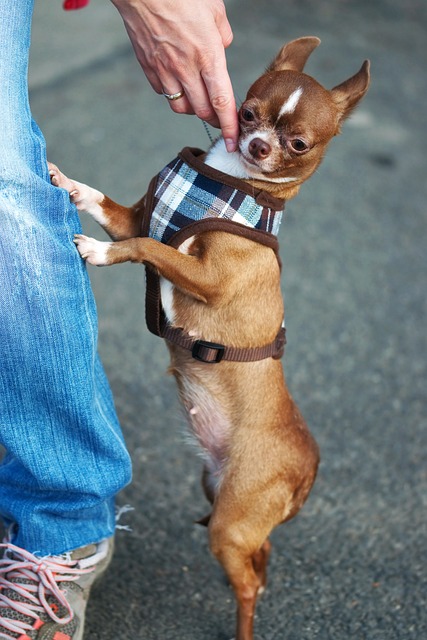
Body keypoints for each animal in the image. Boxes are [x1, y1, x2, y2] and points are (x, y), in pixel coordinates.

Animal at [50, 40, 372, 640]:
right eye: (246, 112)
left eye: (298, 144)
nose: (258, 144)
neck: (230, 181)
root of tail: (307, 473)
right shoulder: (134, 219)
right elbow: (108, 207)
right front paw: (67, 183)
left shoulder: (205, 275)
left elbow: (151, 249)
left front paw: (100, 253)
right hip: (223, 499)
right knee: (261, 558)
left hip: (230, 522)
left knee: (247, 581)